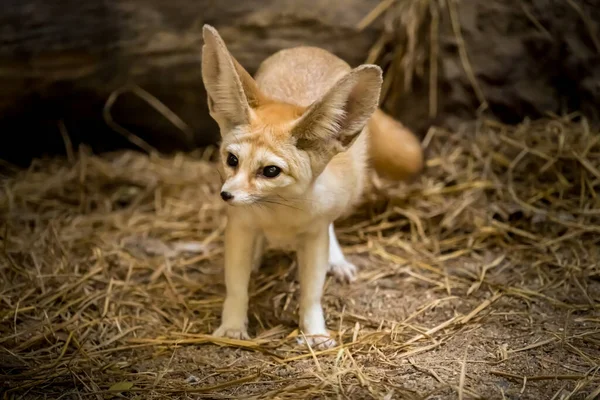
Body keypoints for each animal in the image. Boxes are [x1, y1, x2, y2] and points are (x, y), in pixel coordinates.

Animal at [202, 25, 422, 350]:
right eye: (232, 160)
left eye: (270, 171)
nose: (225, 195)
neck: (279, 214)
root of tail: (311, 49)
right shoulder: (240, 226)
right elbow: (236, 287)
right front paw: (231, 328)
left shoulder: (314, 234)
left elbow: (311, 294)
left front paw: (315, 332)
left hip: (349, 191)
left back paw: (337, 260)